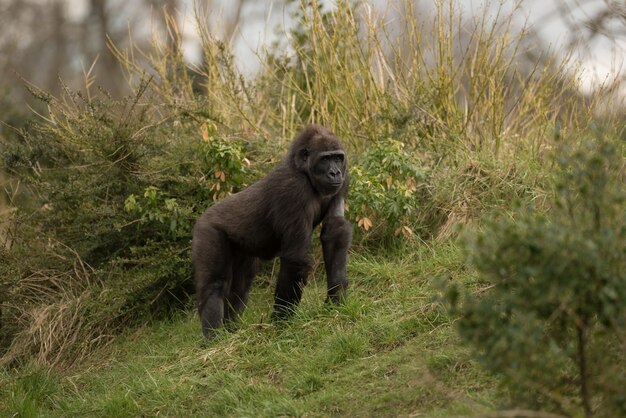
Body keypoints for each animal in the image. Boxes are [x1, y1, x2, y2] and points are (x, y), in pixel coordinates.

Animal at [191, 125, 352, 338]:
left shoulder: (343, 180)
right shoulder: (292, 190)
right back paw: (213, 338)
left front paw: (335, 299)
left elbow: (335, 231)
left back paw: (231, 331)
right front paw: (280, 322)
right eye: (325, 159)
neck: (303, 172)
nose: (335, 173)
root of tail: (202, 217)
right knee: (214, 283)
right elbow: (295, 259)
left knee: (240, 287)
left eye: (338, 158)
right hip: (207, 229)